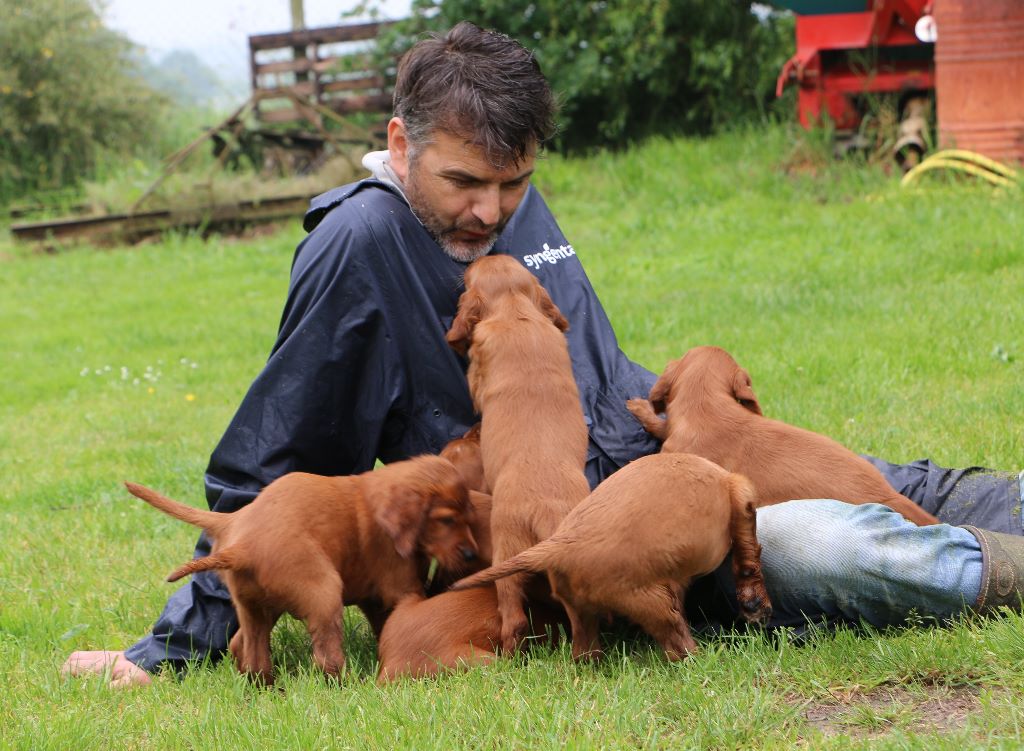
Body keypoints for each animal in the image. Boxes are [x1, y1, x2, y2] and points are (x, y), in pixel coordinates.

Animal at [125, 454, 477, 684]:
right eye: (446, 520)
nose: (472, 554)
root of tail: (241, 537)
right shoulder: (399, 585)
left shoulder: (374, 597)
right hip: (322, 590)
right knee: (326, 657)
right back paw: (348, 686)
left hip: (254, 605)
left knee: (248, 650)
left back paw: (267, 691)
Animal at [444, 255, 589, 651]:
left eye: (469, 277)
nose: (480, 256)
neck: (515, 311)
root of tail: (547, 514)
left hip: (506, 556)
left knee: (512, 614)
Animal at [452, 448, 770, 659]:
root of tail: (561, 543)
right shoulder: (740, 496)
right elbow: (748, 555)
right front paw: (756, 604)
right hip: (648, 600)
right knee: (675, 640)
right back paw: (701, 658)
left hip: (579, 607)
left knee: (583, 650)